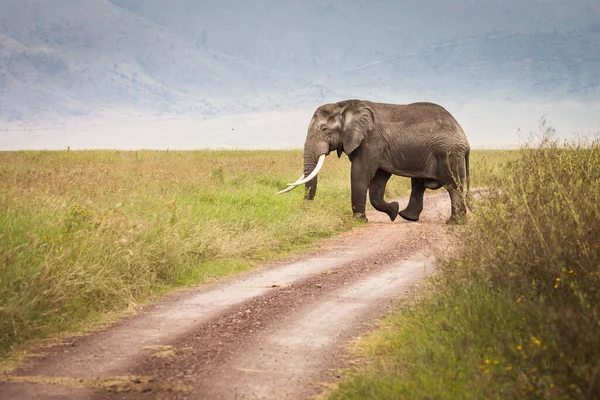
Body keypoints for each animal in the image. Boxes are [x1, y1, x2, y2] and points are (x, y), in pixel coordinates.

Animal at [278, 99, 472, 225]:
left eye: (325, 129)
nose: (306, 209)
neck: (345, 106)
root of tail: (464, 137)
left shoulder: (371, 141)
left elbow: (360, 173)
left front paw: (359, 220)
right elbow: (378, 181)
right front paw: (393, 211)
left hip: (448, 153)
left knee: (452, 186)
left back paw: (454, 223)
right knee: (419, 184)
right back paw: (407, 217)